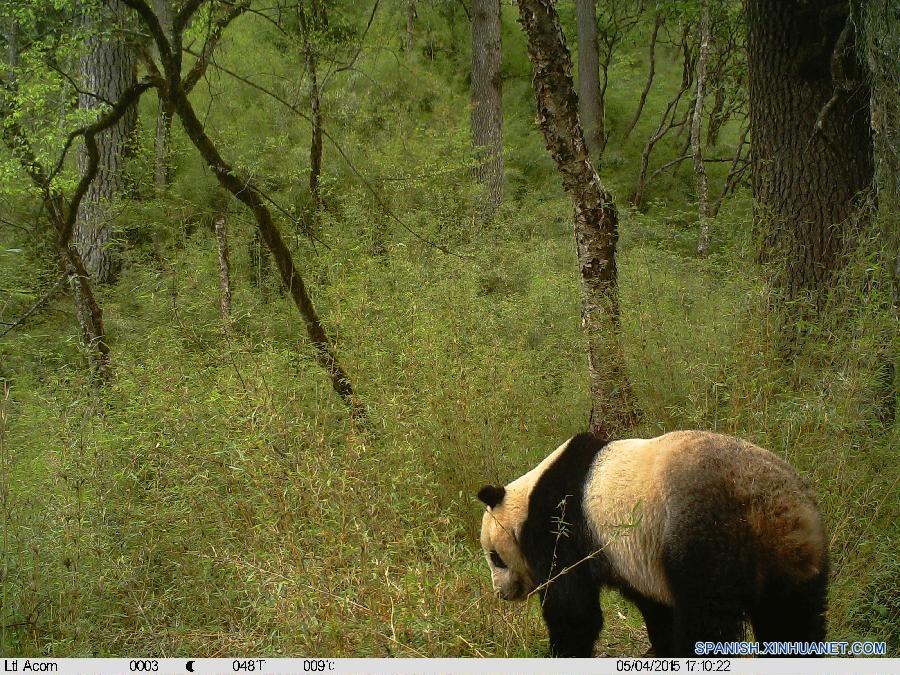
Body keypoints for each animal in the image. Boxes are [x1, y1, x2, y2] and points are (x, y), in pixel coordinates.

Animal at [478, 430, 828, 656]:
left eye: (495, 557)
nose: (500, 592)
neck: (525, 500)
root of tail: (767, 508)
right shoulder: (634, 558)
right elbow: (653, 603)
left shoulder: (560, 525)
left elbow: (572, 607)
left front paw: (562, 651)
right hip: (796, 552)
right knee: (793, 619)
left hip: (703, 532)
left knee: (706, 617)